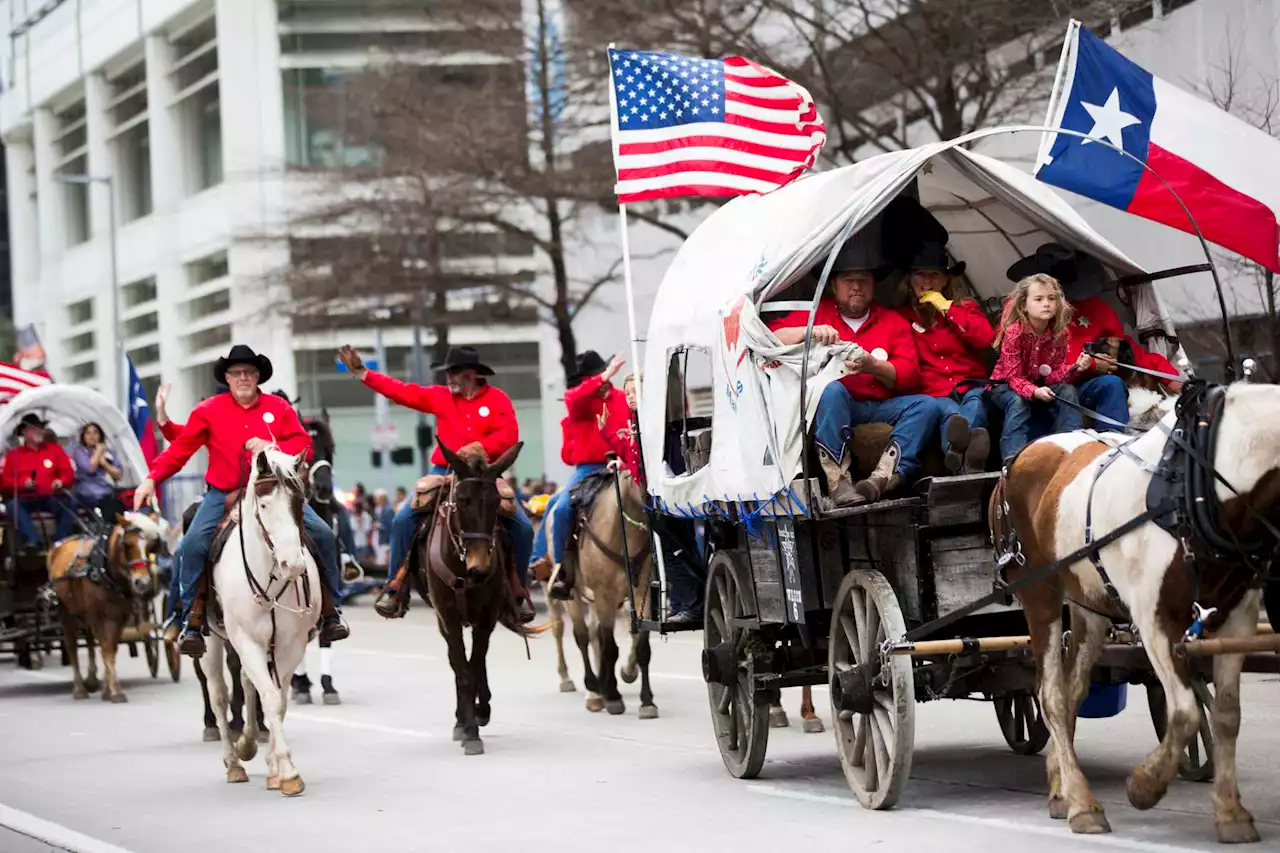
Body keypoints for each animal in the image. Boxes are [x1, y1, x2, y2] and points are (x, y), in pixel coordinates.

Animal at [46, 514, 162, 701]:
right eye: (127, 544)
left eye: (151, 546)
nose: (142, 582)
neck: (105, 572)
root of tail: (58, 547)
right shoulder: (98, 615)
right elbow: (106, 648)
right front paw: (115, 691)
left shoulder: (119, 616)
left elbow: (111, 647)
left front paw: (108, 689)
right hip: (66, 612)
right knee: (72, 645)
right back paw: (79, 688)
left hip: (83, 613)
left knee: (89, 641)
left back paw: (92, 679)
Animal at [404, 438, 535, 753]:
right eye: (462, 501)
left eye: (496, 502)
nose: (480, 568)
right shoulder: (449, 618)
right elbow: (462, 671)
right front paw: (469, 730)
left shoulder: (485, 618)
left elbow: (475, 666)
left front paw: (479, 715)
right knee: (456, 663)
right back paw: (461, 720)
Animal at [993, 379, 1280, 845]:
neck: (1199, 486)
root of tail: (1016, 460)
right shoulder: (1154, 617)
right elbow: (1184, 712)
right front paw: (1144, 786)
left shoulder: (1237, 615)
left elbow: (1226, 715)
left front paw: (1231, 812)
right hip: (1039, 595)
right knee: (1050, 695)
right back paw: (1083, 805)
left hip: (1088, 604)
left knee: (1072, 691)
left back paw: (1062, 788)